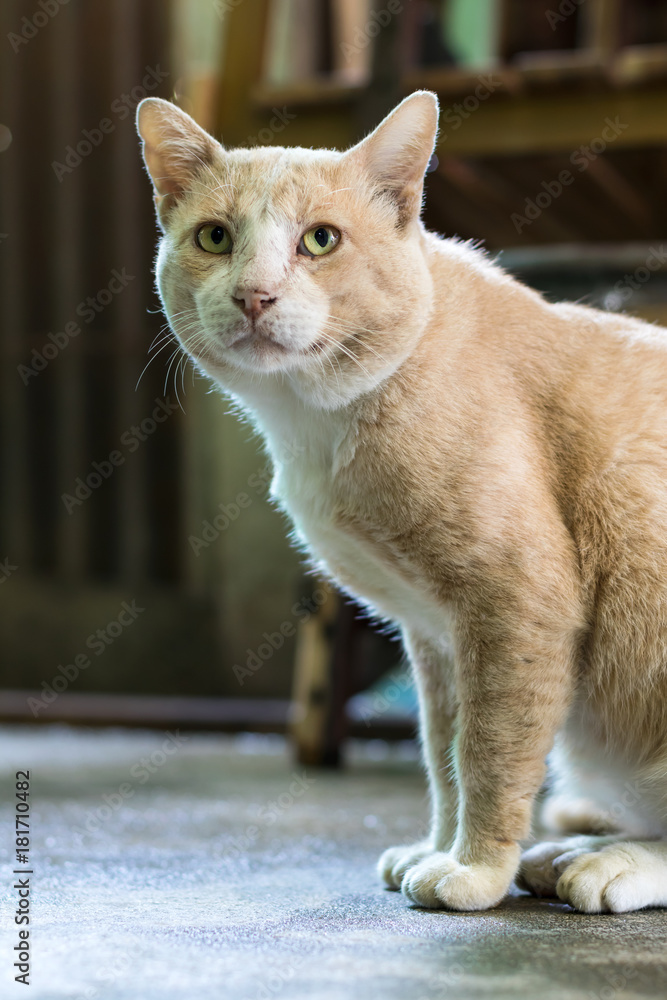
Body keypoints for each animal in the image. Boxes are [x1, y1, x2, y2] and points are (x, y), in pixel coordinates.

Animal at [136, 90, 667, 912]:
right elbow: (442, 756)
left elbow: (489, 752)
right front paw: (437, 848)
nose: (255, 295)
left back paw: (607, 862)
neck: (315, 425)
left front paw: (475, 870)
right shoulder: (437, 638)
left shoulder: (516, 605)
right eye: (216, 237)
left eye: (320, 240)